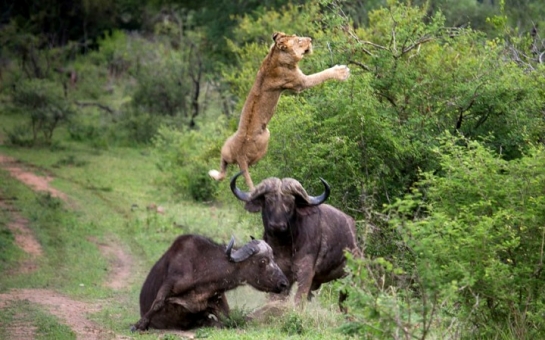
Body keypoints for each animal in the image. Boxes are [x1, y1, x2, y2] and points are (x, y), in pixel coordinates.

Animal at [131, 232, 288, 330]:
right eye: (263, 261)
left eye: (273, 258)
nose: (284, 283)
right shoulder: (171, 282)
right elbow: (158, 303)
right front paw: (139, 325)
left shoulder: (218, 299)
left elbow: (231, 319)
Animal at [208, 32, 348, 190]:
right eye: (299, 40)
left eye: (297, 36)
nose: (310, 39)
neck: (274, 56)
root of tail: (240, 156)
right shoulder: (301, 83)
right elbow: (321, 74)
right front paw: (342, 71)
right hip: (265, 138)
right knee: (245, 167)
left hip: (226, 148)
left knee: (223, 169)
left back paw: (213, 173)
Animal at [231, 171, 362, 306]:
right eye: (268, 201)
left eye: (289, 203)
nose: (277, 225)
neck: (285, 245)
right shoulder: (281, 273)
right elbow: (276, 298)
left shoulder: (306, 272)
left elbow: (298, 300)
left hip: (349, 279)